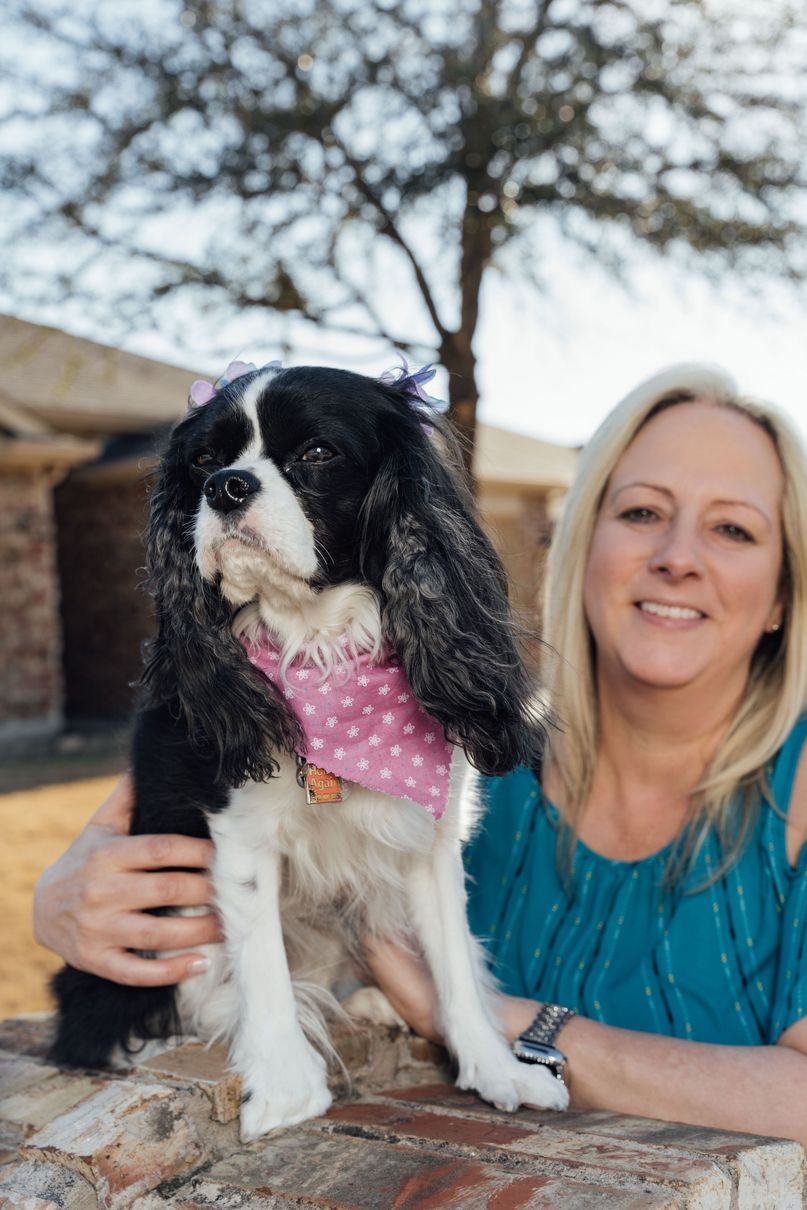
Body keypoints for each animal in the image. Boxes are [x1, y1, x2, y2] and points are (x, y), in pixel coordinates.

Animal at [50, 355, 568, 1132]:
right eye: (202, 462)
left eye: (317, 454)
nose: (226, 487)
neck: (321, 650)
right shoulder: (239, 834)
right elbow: (262, 962)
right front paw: (287, 1087)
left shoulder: (431, 834)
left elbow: (452, 958)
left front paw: (494, 1068)